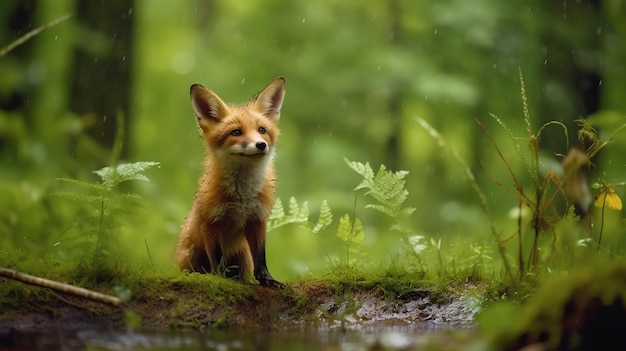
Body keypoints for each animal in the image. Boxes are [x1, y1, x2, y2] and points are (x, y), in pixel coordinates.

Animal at [173, 77, 286, 288]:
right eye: (236, 132)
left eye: (262, 130)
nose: (261, 144)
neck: (243, 197)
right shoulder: (211, 221)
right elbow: (217, 257)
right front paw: (220, 279)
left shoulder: (257, 218)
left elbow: (261, 257)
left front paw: (268, 280)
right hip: (191, 257)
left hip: (242, 255)